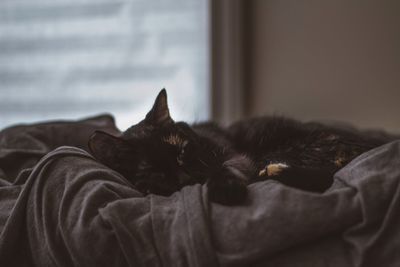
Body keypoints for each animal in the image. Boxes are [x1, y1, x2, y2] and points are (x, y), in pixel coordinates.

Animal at [87, 89, 390, 205]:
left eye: (182, 150)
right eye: (154, 171)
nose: (186, 178)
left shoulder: (234, 155)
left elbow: (226, 167)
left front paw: (225, 188)